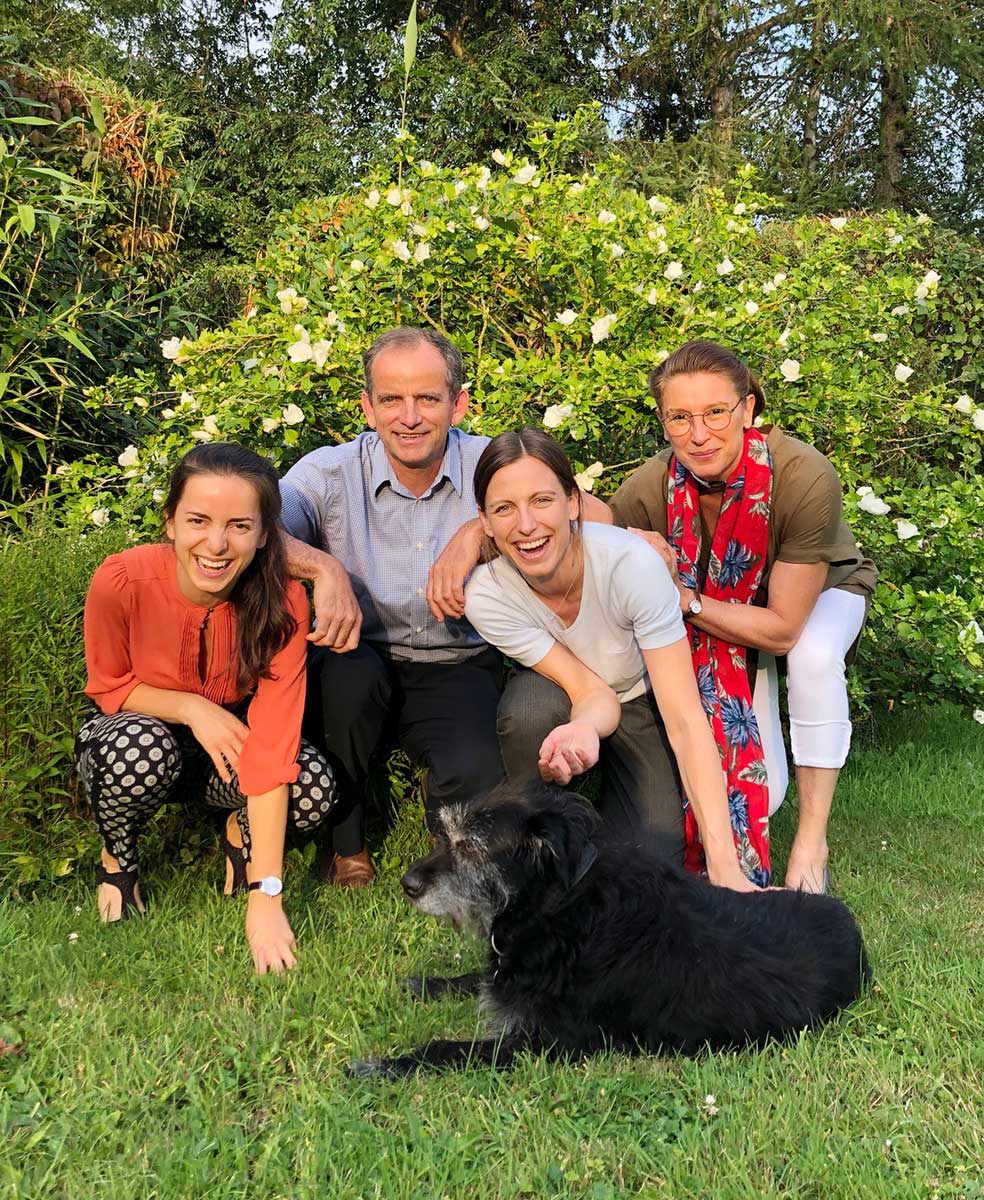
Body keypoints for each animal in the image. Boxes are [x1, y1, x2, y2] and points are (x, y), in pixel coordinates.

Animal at [352, 782, 868, 1075]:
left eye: (471, 847)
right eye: (448, 836)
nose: (407, 884)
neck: (557, 906)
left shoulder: (544, 1043)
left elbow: (445, 1049)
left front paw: (386, 1062)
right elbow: (476, 978)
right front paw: (426, 984)